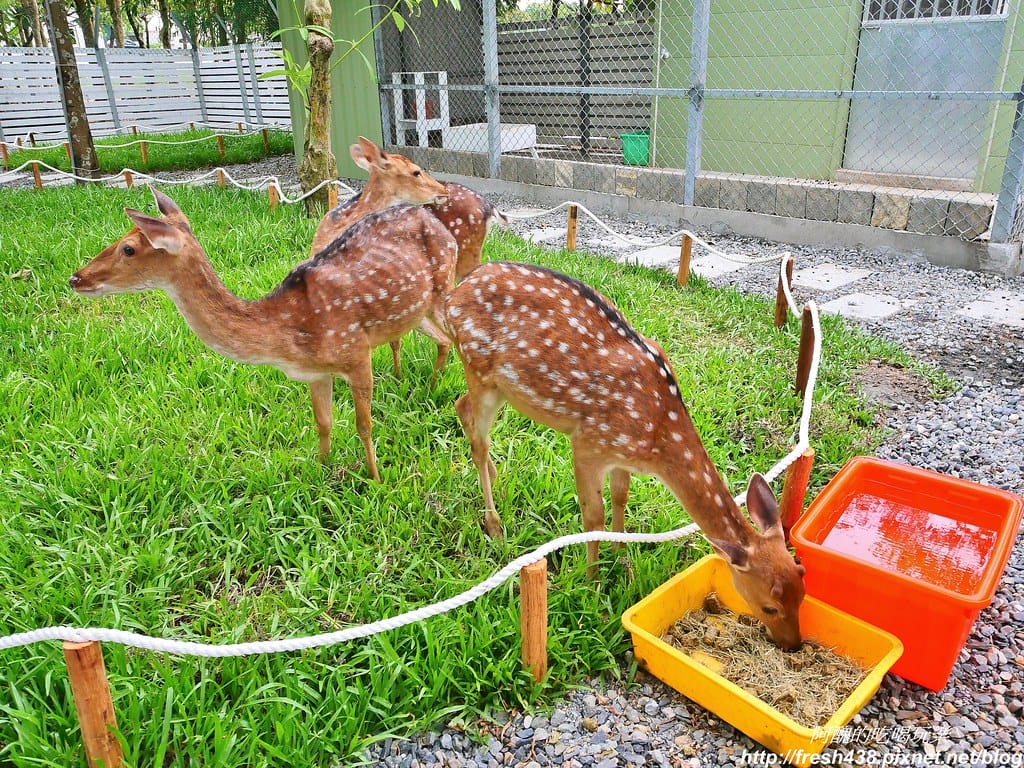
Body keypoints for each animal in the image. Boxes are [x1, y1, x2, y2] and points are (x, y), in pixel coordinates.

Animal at [69, 187, 457, 481]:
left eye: (128, 248)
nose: (75, 278)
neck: (286, 335)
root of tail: (437, 220)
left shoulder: (356, 353)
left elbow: (364, 425)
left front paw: (375, 479)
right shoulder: (315, 373)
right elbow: (324, 422)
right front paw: (322, 471)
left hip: (443, 287)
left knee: (453, 337)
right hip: (416, 310)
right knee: (442, 340)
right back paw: (429, 386)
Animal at [443, 261, 807, 650]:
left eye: (802, 586)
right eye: (769, 606)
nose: (794, 644)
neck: (658, 435)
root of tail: (455, 292)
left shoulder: (622, 456)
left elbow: (620, 497)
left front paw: (622, 561)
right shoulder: (588, 443)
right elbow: (593, 517)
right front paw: (592, 585)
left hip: (496, 386)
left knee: (461, 407)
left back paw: (498, 478)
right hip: (478, 367)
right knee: (475, 430)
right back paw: (495, 525)